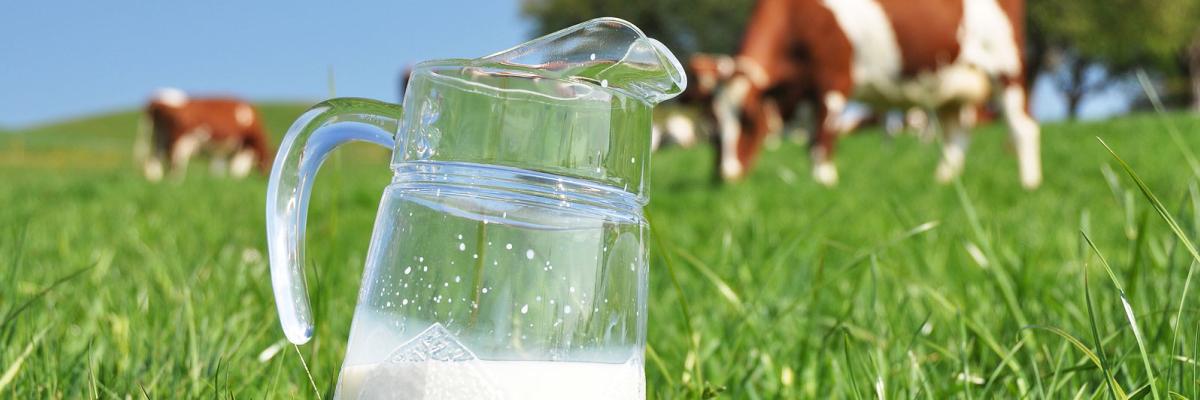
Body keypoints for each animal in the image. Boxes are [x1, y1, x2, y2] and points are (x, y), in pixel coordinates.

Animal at [137, 88, 271, 180]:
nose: (264, 177)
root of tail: (155, 101)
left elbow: (218, 165)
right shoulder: (244, 147)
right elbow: (238, 167)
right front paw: (235, 180)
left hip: (160, 136)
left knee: (155, 157)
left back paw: (155, 178)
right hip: (181, 140)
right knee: (176, 161)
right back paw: (174, 182)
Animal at [710, 0, 1041, 187]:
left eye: (748, 121)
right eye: (713, 129)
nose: (725, 176)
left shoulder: (834, 81)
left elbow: (821, 139)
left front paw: (823, 183)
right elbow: (811, 139)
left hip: (1006, 66)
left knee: (1023, 128)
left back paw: (1028, 185)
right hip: (952, 83)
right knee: (955, 136)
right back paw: (943, 183)